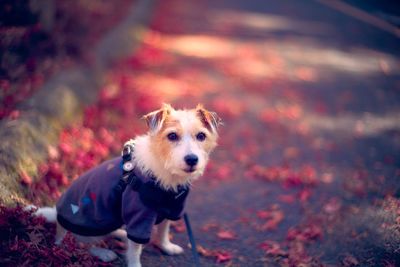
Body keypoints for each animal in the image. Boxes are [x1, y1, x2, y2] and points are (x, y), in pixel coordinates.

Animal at [32, 104, 222, 267]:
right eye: (172, 136)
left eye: (201, 136)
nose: (192, 159)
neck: (164, 169)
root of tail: (57, 216)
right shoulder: (138, 218)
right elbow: (135, 250)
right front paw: (135, 263)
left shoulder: (172, 209)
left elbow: (163, 231)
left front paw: (166, 247)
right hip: (87, 227)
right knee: (75, 244)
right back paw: (103, 252)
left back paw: (121, 234)